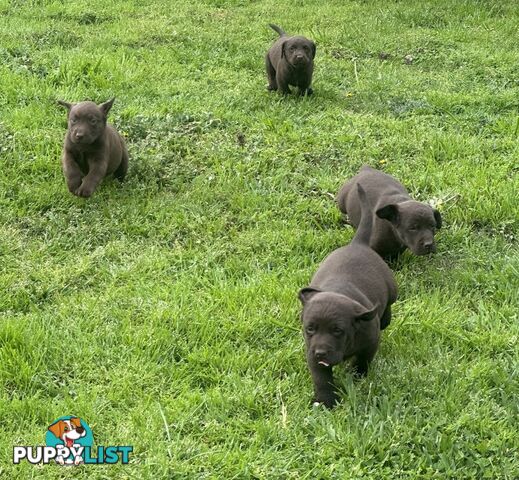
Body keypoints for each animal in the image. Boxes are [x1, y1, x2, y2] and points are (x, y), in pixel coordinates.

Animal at [298, 184, 396, 408]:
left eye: (338, 331)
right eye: (310, 329)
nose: (321, 353)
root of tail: (357, 244)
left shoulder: (370, 341)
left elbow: (362, 360)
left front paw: (357, 375)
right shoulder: (311, 353)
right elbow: (321, 377)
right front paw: (326, 400)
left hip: (392, 289)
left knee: (388, 307)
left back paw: (386, 318)